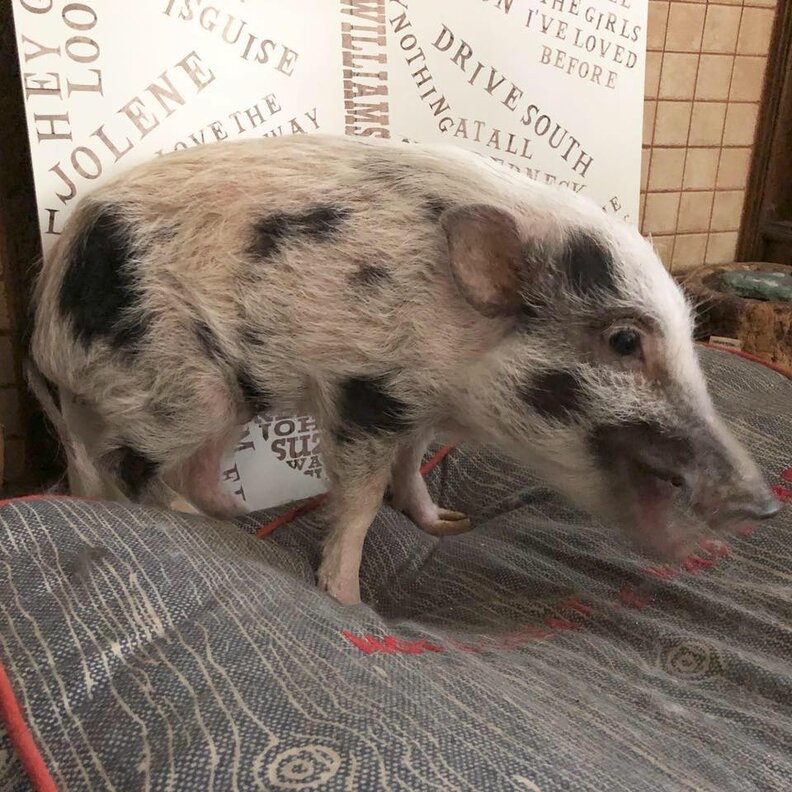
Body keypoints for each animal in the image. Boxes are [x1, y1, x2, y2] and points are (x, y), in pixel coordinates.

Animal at [28, 134, 781, 605]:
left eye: (690, 336)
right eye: (625, 341)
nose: (766, 505)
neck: (452, 378)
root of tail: (44, 322)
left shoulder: (419, 408)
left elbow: (412, 465)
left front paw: (448, 524)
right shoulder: (365, 391)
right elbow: (359, 500)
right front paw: (348, 600)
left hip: (226, 391)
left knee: (194, 468)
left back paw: (235, 521)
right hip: (176, 386)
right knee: (132, 469)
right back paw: (202, 523)